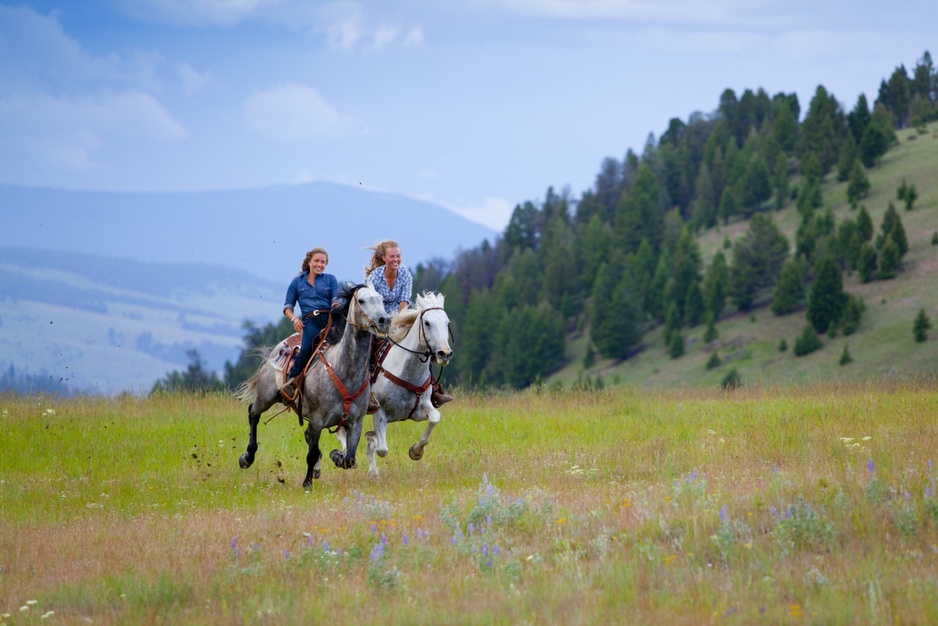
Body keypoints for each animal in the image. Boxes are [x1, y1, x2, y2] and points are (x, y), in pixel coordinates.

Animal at [238, 284, 392, 488]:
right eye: (361, 301)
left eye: (382, 300)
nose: (385, 320)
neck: (346, 372)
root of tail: (278, 348)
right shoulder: (317, 421)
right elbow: (311, 455)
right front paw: (307, 483)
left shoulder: (355, 423)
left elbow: (349, 459)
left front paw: (336, 456)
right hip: (266, 396)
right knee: (253, 413)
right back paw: (247, 457)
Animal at [336, 292, 454, 472]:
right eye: (427, 323)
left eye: (447, 323)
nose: (444, 353)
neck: (407, 373)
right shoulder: (380, 413)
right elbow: (381, 449)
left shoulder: (419, 411)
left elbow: (435, 418)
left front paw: (416, 451)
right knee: (340, 432)